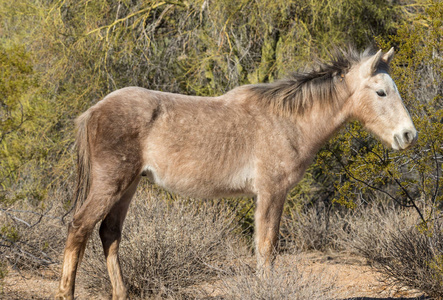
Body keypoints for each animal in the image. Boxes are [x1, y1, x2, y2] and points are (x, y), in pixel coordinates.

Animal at [56, 48, 420, 298]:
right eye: (381, 92)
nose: (408, 135)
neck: (287, 120)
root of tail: (94, 110)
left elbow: (264, 247)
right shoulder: (271, 192)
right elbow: (266, 246)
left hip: (127, 186)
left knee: (109, 233)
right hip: (111, 183)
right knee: (79, 228)